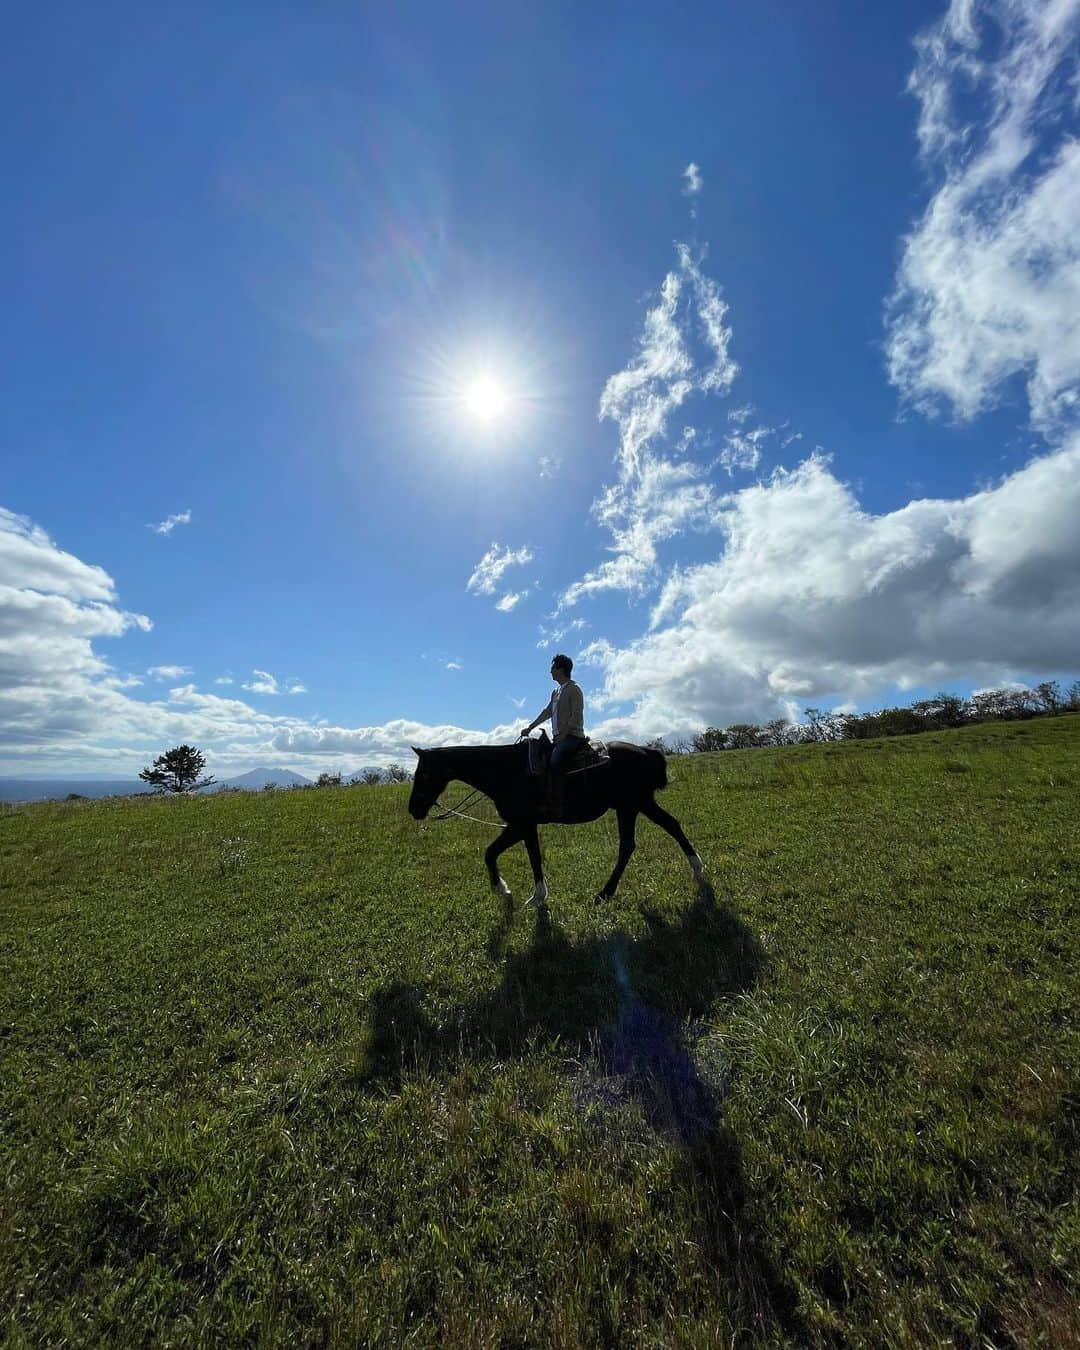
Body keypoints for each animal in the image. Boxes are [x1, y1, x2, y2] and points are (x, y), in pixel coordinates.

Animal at [407, 739, 707, 907]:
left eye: (423, 774)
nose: (413, 810)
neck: (505, 770)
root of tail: (647, 751)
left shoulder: (521, 825)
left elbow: (518, 856)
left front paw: (527, 894)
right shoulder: (522, 826)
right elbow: (501, 853)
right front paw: (509, 890)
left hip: (633, 805)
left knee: (634, 843)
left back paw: (604, 893)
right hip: (636, 805)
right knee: (664, 829)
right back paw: (696, 869)